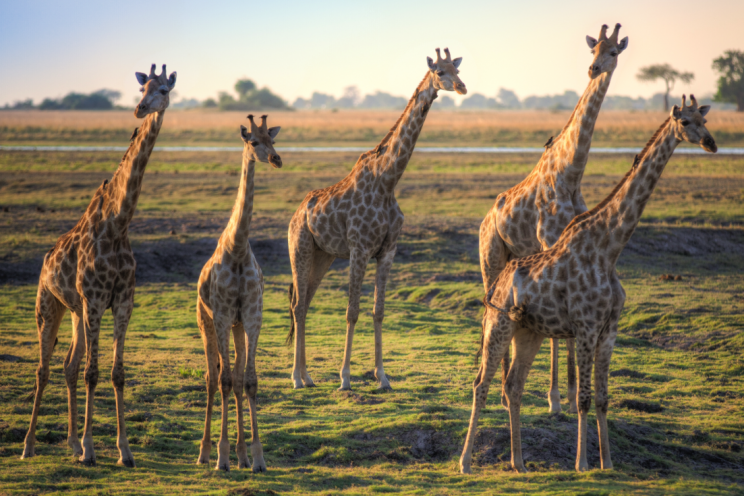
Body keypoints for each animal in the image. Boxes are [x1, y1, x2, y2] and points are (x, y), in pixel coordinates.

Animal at [21, 64, 175, 466]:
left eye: (164, 89)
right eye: (142, 88)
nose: (139, 109)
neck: (119, 223)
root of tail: (45, 261)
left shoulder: (122, 303)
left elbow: (116, 373)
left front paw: (124, 451)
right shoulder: (95, 301)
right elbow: (94, 372)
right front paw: (92, 450)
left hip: (75, 312)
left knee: (68, 366)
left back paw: (72, 444)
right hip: (49, 306)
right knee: (44, 369)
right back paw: (30, 445)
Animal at [284, 49, 464, 392]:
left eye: (457, 70)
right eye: (439, 71)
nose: (462, 87)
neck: (388, 181)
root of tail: (297, 213)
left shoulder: (387, 251)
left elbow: (378, 311)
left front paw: (382, 376)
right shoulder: (359, 249)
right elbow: (352, 311)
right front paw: (345, 378)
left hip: (323, 255)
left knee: (304, 303)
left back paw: (308, 376)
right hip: (300, 248)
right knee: (298, 305)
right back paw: (297, 378)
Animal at [460, 96, 716, 472]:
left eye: (704, 119)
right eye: (685, 121)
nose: (711, 143)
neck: (609, 248)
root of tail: (498, 284)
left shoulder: (609, 330)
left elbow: (603, 398)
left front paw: (607, 463)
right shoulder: (585, 326)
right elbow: (582, 398)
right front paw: (582, 463)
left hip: (529, 333)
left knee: (513, 386)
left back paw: (519, 463)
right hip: (499, 323)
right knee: (481, 384)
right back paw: (465, 463)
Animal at [480, 23, 632, 412]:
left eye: (614, 52)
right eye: (593, 50)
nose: (594, 69)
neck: (570, 173)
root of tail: (485, 220)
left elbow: (563, 330)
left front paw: (569, 392)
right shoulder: (551, 243)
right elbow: (557, 333)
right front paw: (555, 397)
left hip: (513, 256)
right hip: (491, 256)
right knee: (490, 306)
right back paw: (501, 390)